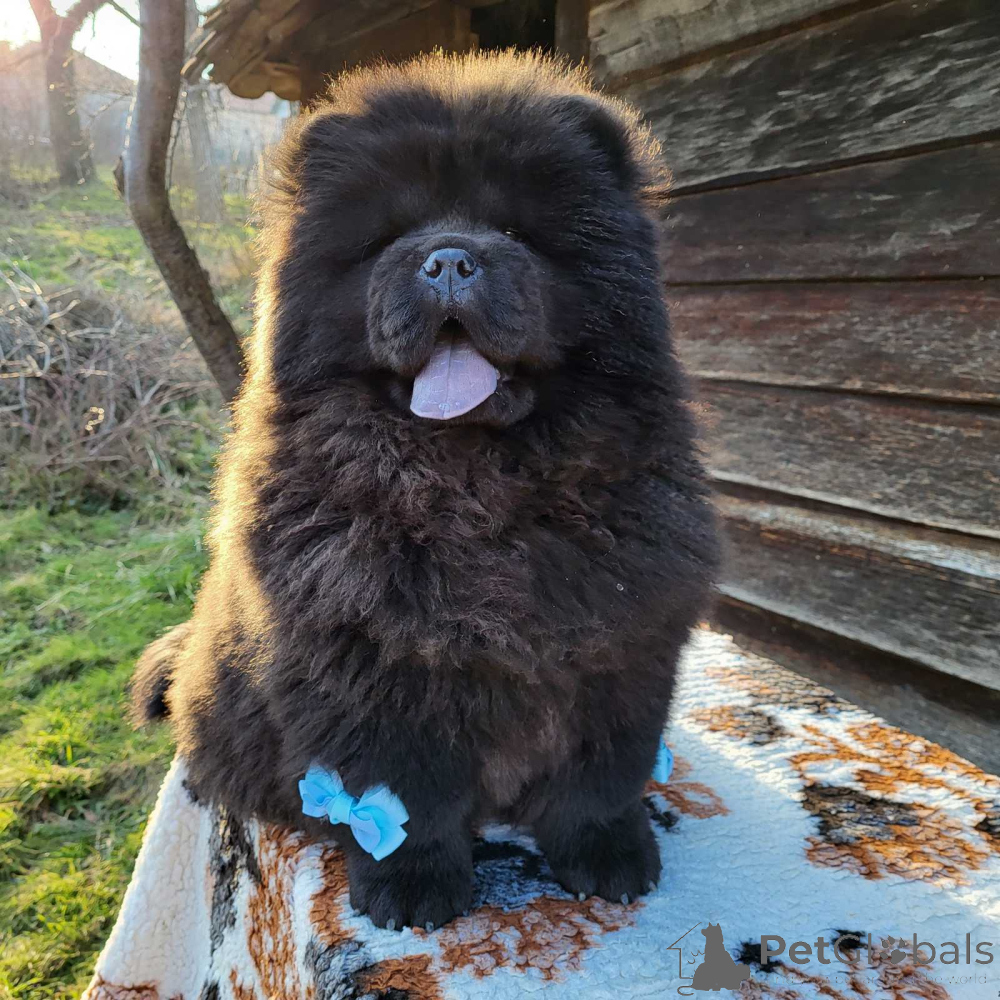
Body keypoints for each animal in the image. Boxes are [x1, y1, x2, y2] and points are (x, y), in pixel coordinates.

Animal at [131, 51, 719, 931]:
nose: (446, 258)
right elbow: (406, 801)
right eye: (388, 240)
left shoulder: (622, 643)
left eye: (515, 234)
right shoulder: (372, 671)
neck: (471, 489)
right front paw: (411, 893)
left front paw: (612, 859)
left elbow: (599, 777)